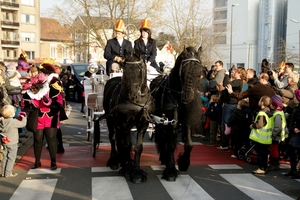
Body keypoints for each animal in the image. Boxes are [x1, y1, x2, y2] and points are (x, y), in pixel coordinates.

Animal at [102, 48, 155, 183]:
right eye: (125, 69)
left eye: (140, 69)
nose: (132, 97)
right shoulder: (123, 123)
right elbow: (125, 144)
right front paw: (127, 168)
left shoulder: (143, 123)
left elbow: (137, 147)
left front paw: (136, 171)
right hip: (111, 120)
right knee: (113, 138)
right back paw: (114, 160)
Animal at [150, 45, 204, 181]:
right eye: (183, 72)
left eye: (199, 72)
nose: (188, 98)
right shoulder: (170, 122)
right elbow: (171, 145)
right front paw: (170, 171)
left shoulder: (186, 120)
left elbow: (189, 144)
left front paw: (184, 163)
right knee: (163, 138)